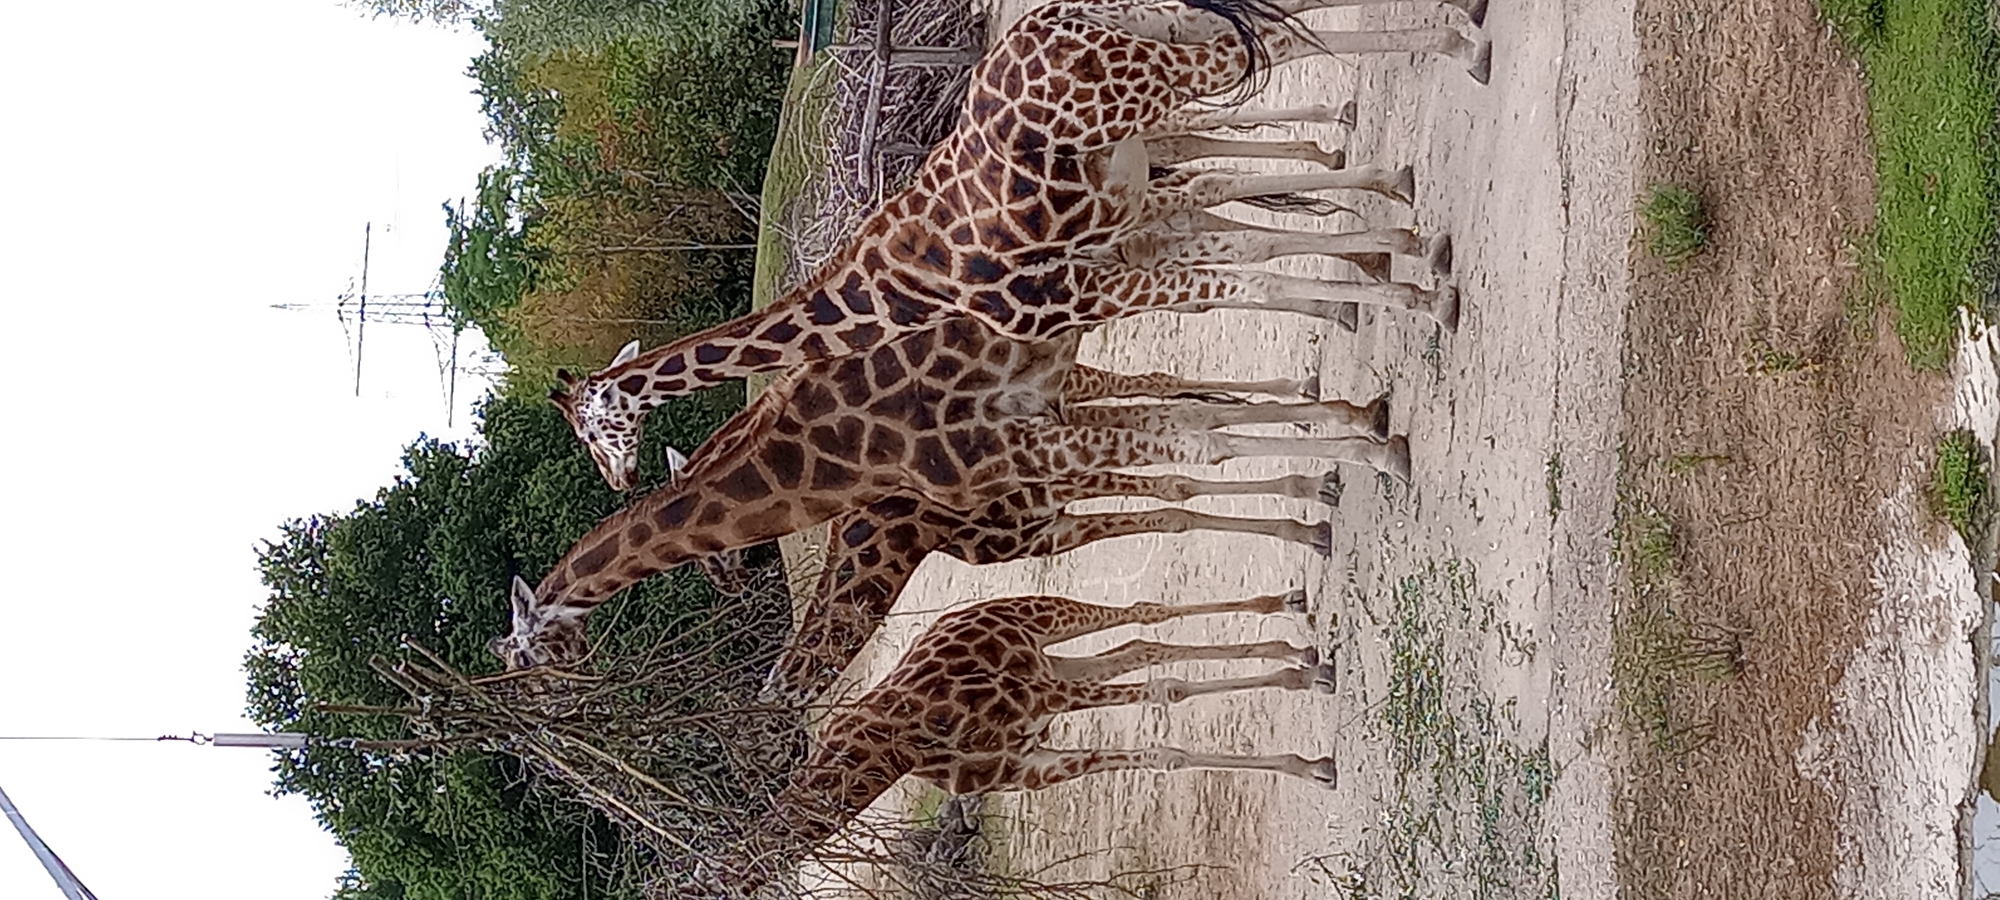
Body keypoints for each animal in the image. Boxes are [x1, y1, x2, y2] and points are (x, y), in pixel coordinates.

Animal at [715, 589, 1337, 896]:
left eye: (756, 749)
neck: (898, 750)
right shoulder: (1029, 766)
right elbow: (1163, 752)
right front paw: (1312, 758)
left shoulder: (1044, 700)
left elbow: (1168, 694)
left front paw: (1314, 748)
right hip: (1050, 661)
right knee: (1140, 643)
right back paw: (1296, 644)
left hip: (1045, 632)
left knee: (1143, 617)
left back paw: (1297, 628)